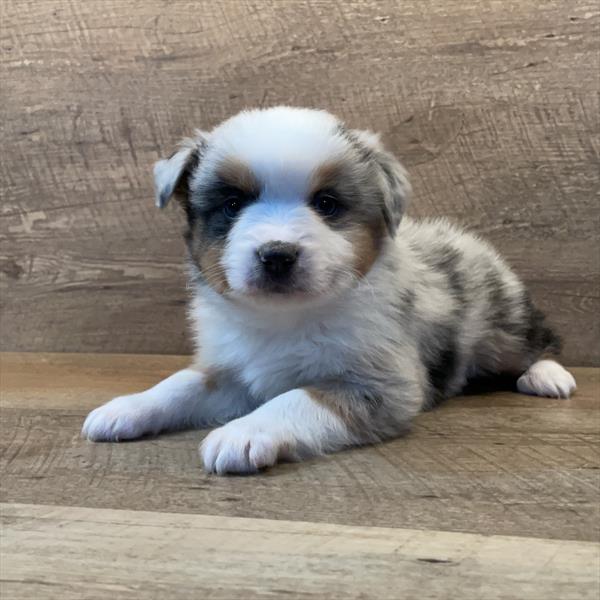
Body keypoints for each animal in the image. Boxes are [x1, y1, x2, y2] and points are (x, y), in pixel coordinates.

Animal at [81, 106, 576, 474]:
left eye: (327, 204)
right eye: (232, 204)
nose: (277, 254)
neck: (284, 317)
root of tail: (463, 237)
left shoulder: (380, 384)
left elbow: (296, 397)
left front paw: (243, 433)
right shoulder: (232, 367)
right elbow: (181, 384)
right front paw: (127, 408)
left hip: (504, 323)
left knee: (539, 341)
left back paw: (547, 375)